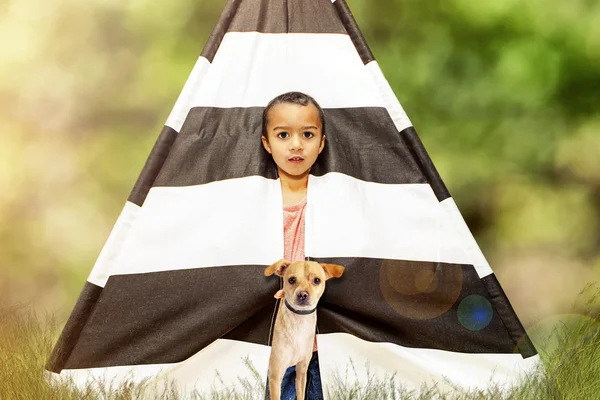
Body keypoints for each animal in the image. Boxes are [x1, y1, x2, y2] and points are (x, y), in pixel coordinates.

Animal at [264, 260, 344, 400]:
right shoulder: (275, 376)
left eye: (317, 280)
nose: (302, 294)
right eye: (291, 279)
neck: (299, 323)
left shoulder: (301, 372)